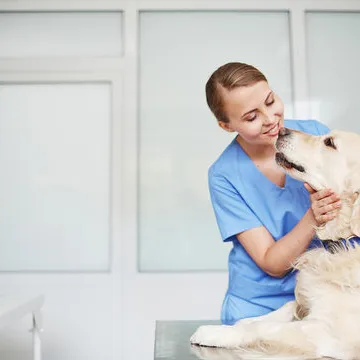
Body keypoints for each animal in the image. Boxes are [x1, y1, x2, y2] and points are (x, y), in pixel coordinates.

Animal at [191, 128, 360, 358]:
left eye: (329, 143)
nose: (283, 130)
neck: (346, 241)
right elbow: (278, 310)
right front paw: (233, 325)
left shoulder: (327, 333)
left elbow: (262, 328)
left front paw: (215, 332)